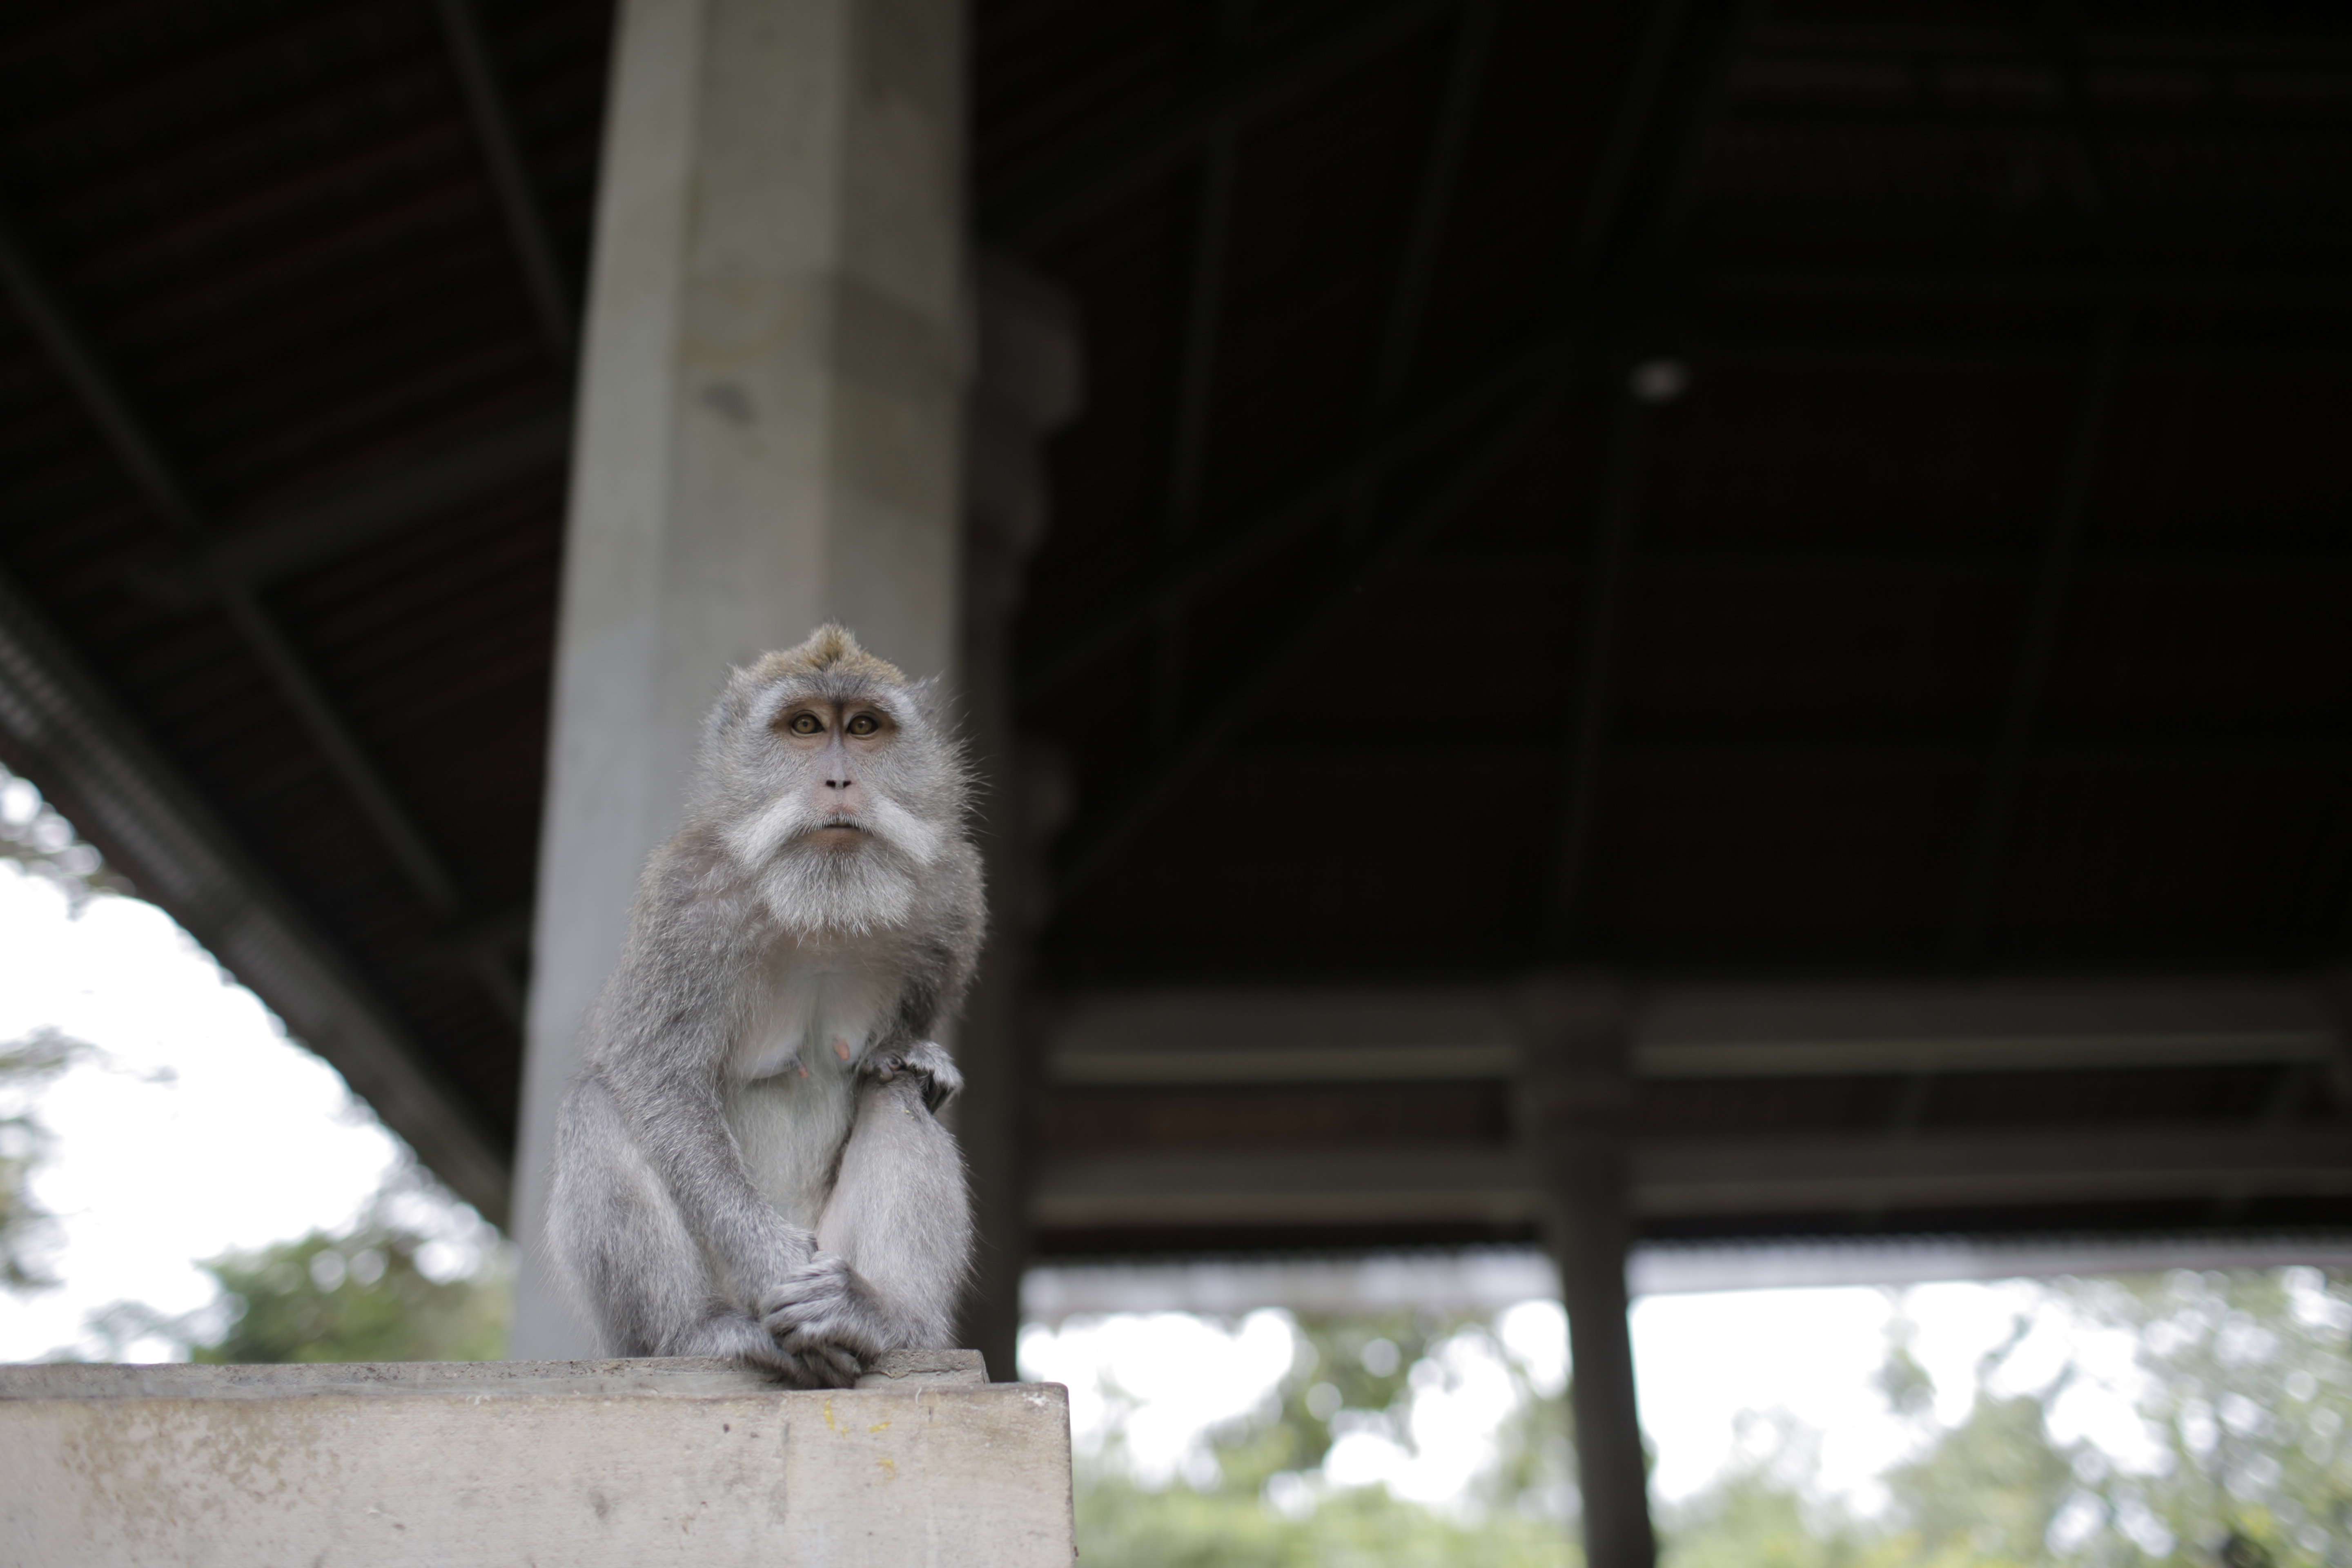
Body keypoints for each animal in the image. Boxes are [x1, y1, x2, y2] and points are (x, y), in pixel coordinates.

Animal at [546, 625, 978, 1382]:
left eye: (863, 728)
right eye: (804, 727)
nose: (839, 781)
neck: (823, 901)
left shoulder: (952, 890)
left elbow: (901, 1060)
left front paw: (921, 1055)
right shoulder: (686, 899)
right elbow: (657, 1077)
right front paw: (767, 1259)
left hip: (837, 1251)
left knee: (894, 1097)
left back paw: (885, 1321)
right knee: (596, 1104)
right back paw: (699, 1332)